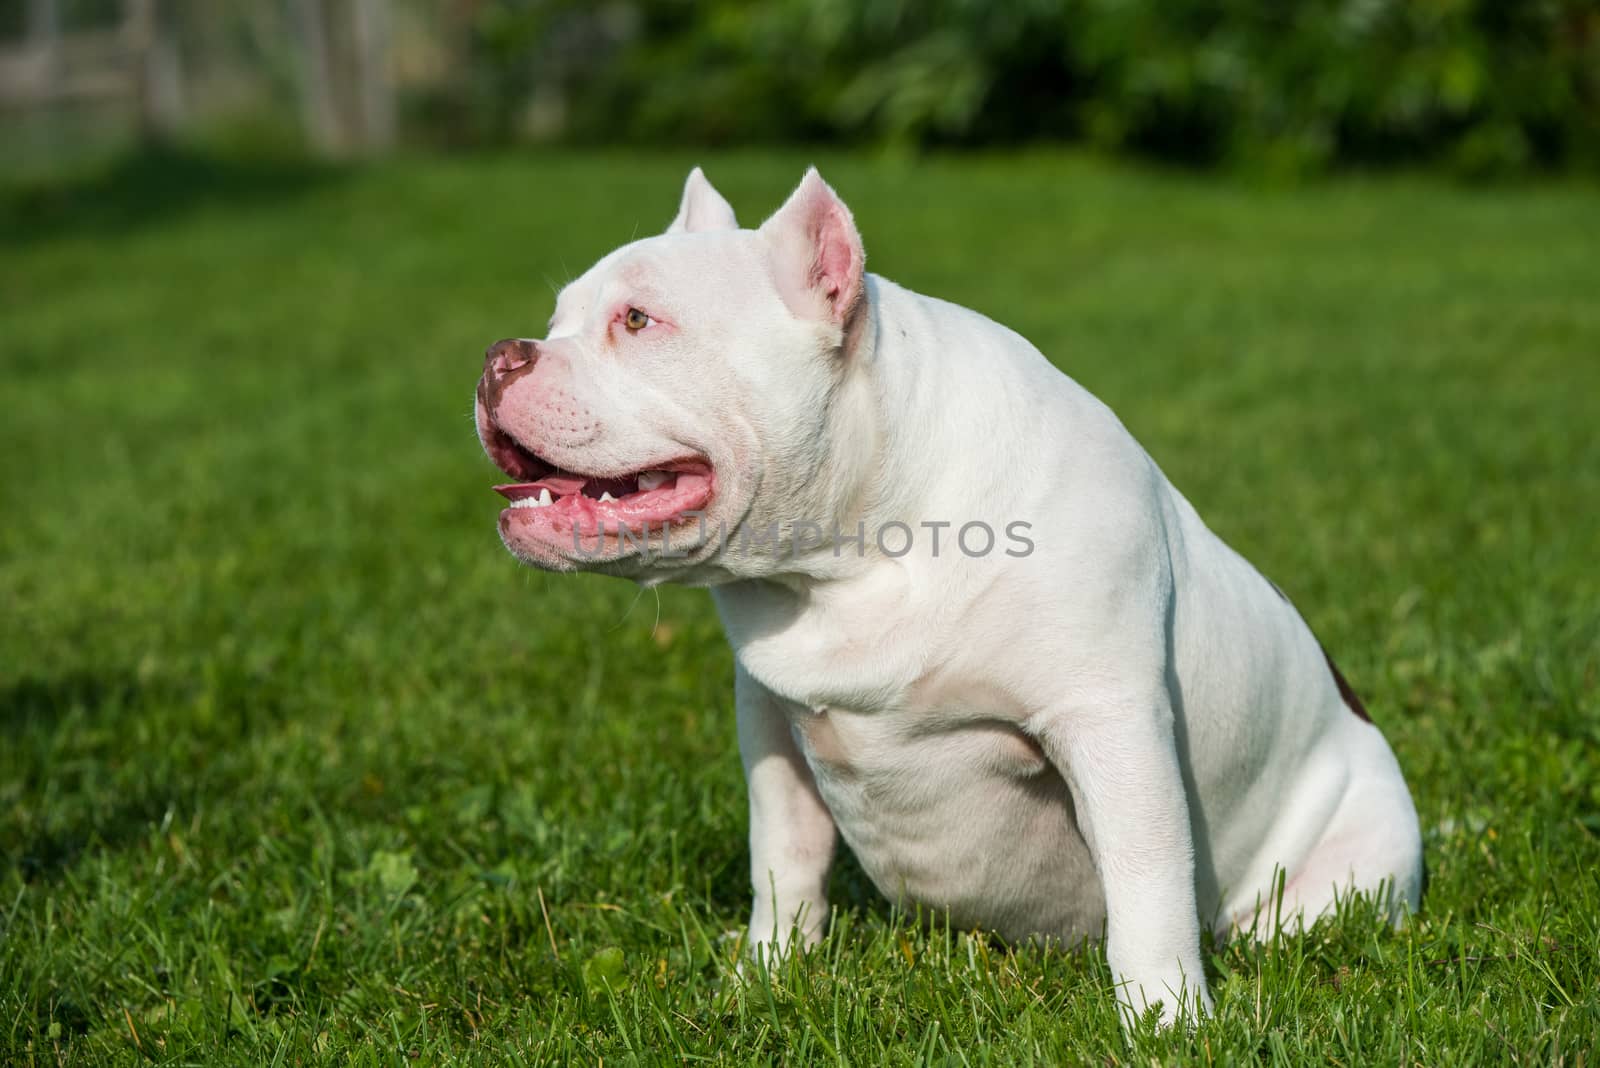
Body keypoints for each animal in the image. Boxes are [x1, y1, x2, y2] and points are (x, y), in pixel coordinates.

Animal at [473, 164, 1427, 1023]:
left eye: (638, 320)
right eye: (558, 319)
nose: (498, 355)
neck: (850, 552)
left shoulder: (1109, 722)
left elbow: (1147, 879)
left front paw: (1167, 1020)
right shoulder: (771, 721)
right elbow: (783, 856)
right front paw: (766, 974)